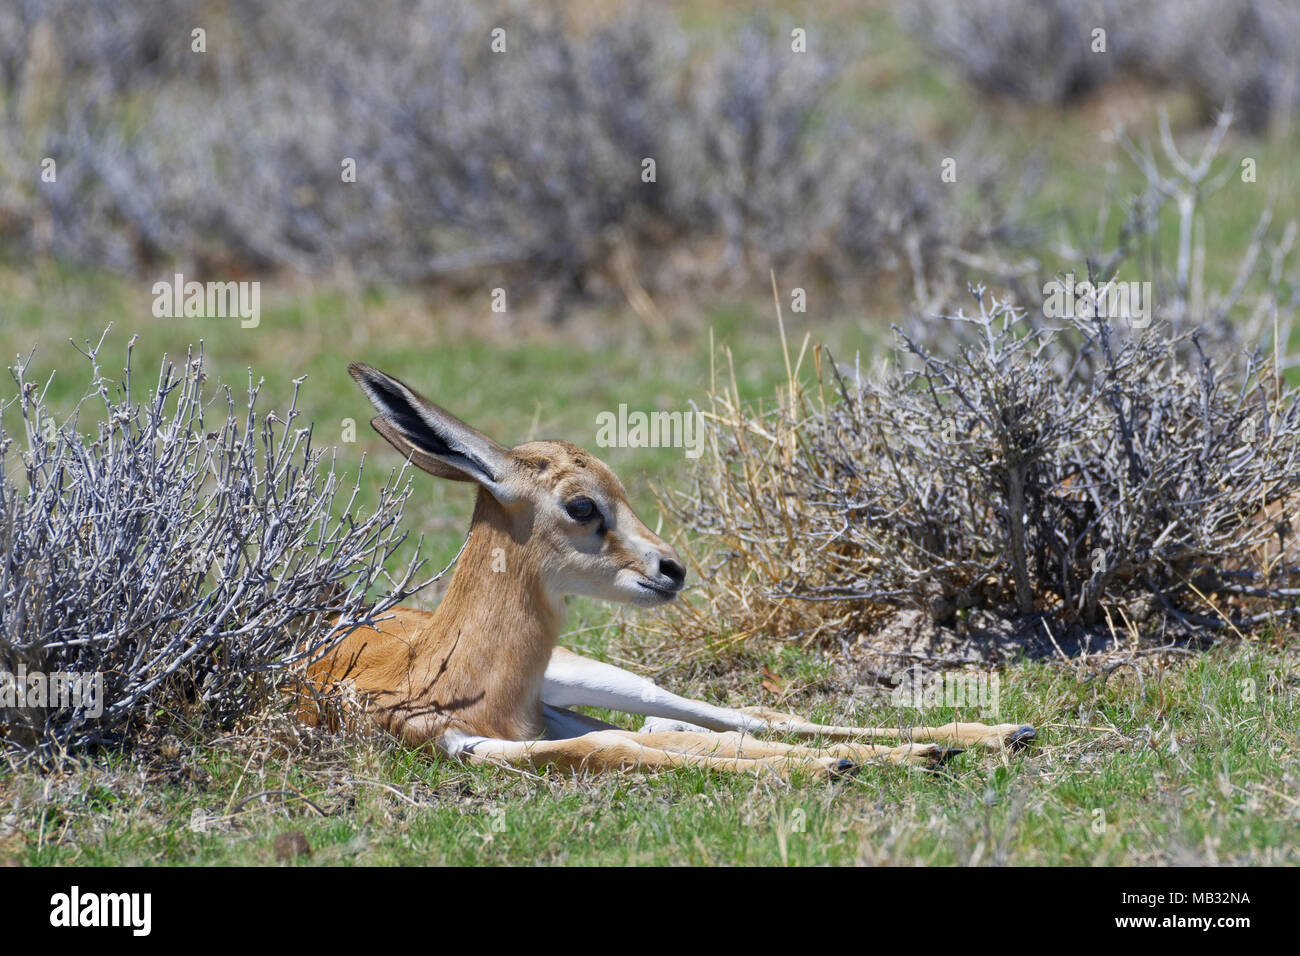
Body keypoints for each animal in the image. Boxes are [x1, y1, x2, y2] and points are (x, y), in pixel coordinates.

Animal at [306, 361, 1034, 780]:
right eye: (582, 504)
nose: (672, 569)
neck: (447, 671)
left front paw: (859, 759)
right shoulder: (481, 744)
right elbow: (615, 747)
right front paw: (836, 765)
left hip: (592, 675)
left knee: (734, 716)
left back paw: (989, 735)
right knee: (696, 728)